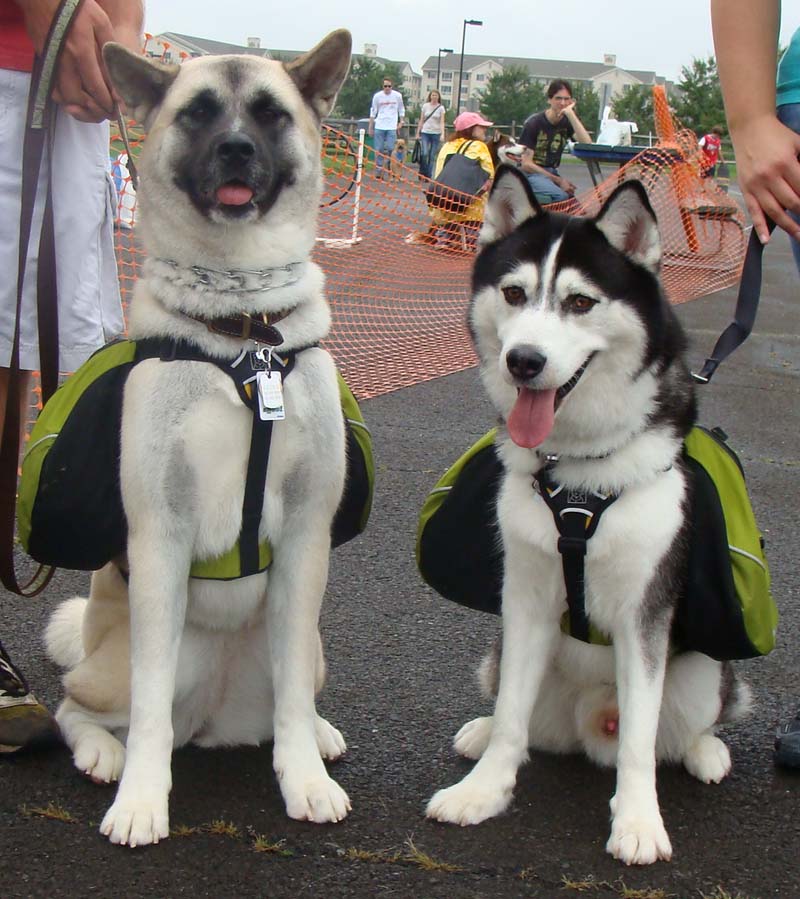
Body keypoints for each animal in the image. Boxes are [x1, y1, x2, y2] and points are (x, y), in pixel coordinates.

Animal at [44, 26, 354, 844]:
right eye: (199, 112)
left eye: (271, 114)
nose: (238, 148)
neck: (244, 333)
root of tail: (213, 717)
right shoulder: (161, 534)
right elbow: (149, 711)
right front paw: (142, 801)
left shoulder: (307, 537)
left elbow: (292, 703)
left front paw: (304, 776)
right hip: (115, 667)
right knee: (74, 704)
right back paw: (102, 755)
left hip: (308, 648)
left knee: (289, 699)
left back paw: (316, 735)